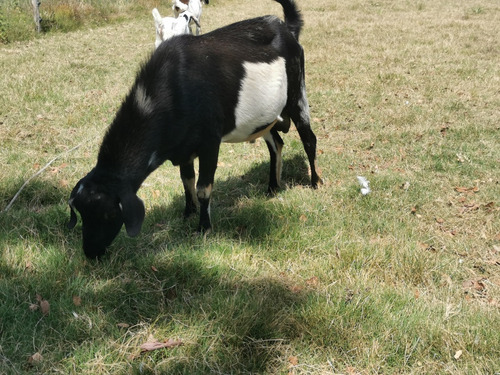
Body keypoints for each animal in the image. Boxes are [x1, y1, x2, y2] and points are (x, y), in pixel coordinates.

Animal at [68, 0, 322, 258]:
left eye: (109, 213)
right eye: (80, 213)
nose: (91, 252)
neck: (172, 87)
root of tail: (287, 29)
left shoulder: (210, 142)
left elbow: (203, 188)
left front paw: (204, 227)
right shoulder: (183, 146)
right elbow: (186, 180)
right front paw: (187, 213)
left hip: (297, 93)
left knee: (309, 139)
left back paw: (315, 182)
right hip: (264, 117)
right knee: (277, 144)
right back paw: (272, 188)